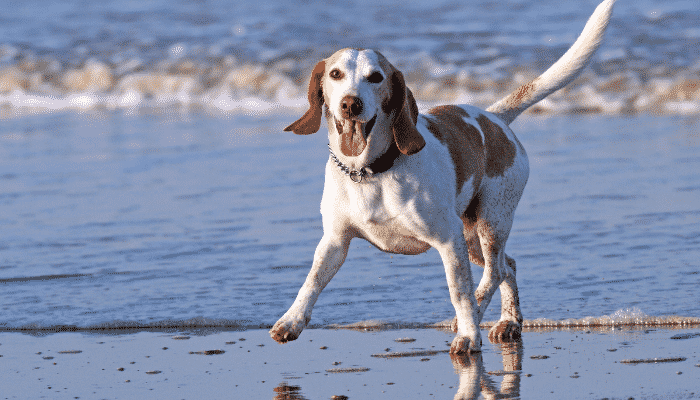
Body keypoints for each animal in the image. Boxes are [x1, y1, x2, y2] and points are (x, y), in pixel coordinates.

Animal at [270, 0, 616, 354]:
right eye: (335, 74)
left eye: (376, 77)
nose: (350, 104)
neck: (370, 172)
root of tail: (494, 118)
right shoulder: (335, 241)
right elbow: (311, 282)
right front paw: (291, 321)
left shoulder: (448, 240)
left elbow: (459, 293)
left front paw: (468, 335)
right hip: (472, 238)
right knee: (509, 265)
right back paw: (509, 321)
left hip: (490, 223)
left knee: (494, 273)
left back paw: (478, 317)